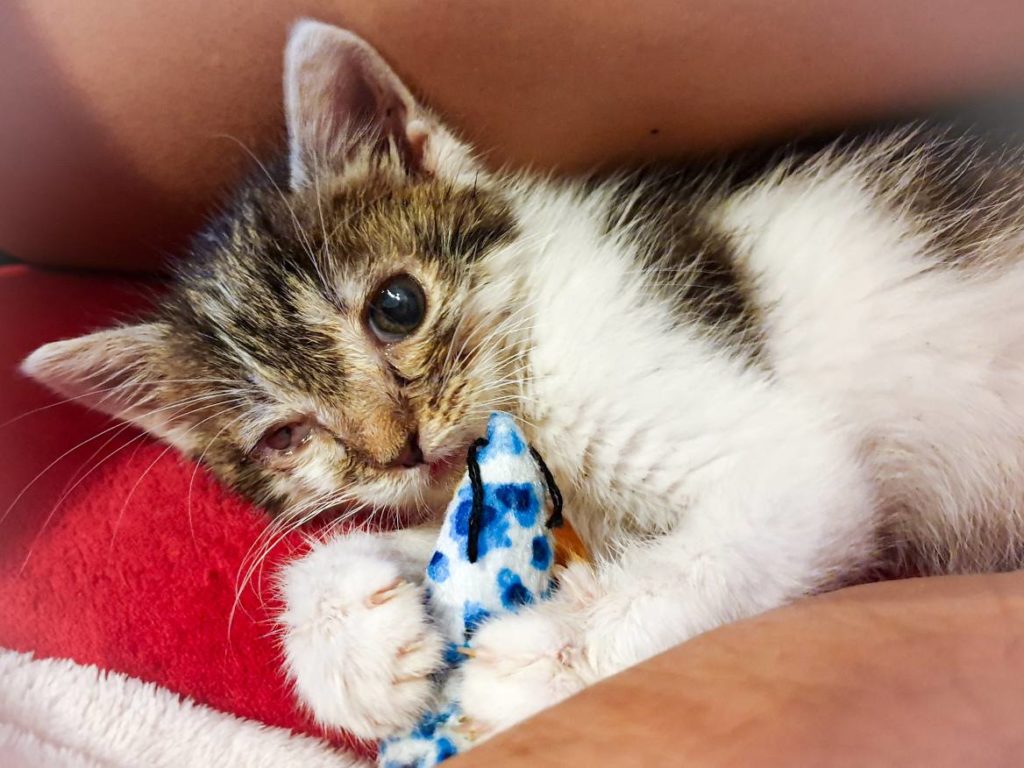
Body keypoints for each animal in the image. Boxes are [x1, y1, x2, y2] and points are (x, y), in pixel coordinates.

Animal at [22, 18, 1024, 744]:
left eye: (396, 305)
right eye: (286, 436)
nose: (401, 447)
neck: (531, 356)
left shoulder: (774, 452)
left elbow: (745, 527)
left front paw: (546, 658)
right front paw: (350, 643)